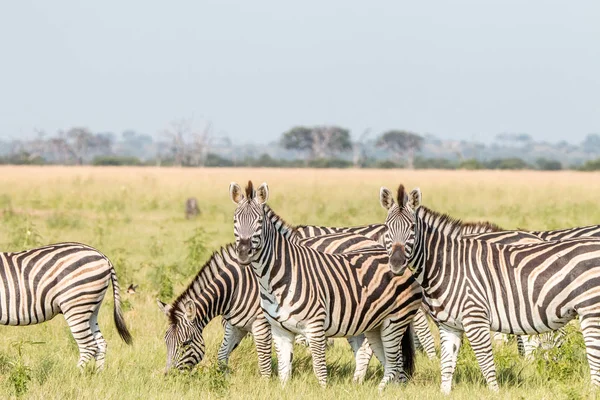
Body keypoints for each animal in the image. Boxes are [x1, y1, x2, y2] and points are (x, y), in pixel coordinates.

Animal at [0, 241, 132, 368]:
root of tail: (102, 256)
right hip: (91, 309)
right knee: (101, 344)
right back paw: (98, 374)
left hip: (76, 306)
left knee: (89, 346)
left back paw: (75, 374)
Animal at [230, 180, 422, 388]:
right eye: (235, 220)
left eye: (259, 221)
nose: (243, 252)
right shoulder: (280, 329)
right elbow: (284, 370)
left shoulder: (313, 324)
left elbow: (318, 367)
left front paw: (322, 389)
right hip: (371, 322)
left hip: (390, 321)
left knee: (391, 358)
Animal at [378, 186, 600, 392]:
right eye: (387, 228)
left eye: (413, 227)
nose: (396, 263)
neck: (446, 265)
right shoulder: (450, 325)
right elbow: (447, 367)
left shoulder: (475, 317)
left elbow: (486, 364)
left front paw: (495, 393)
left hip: (591, 310)